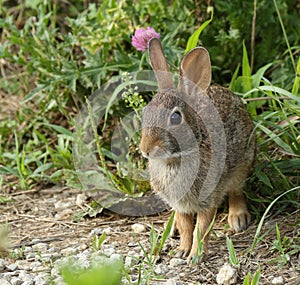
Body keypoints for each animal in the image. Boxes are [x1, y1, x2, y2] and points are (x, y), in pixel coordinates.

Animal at [139, 37, 255, 260]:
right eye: (145, 113)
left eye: (176, 118)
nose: (145, 149)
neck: (175, 159)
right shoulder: (179, 204)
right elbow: (186, 226)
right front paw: (182, 250)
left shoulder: (208, 199)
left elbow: (201, 228)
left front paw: (195, 255)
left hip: (243, 162)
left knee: (236, 190)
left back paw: (238, 218)